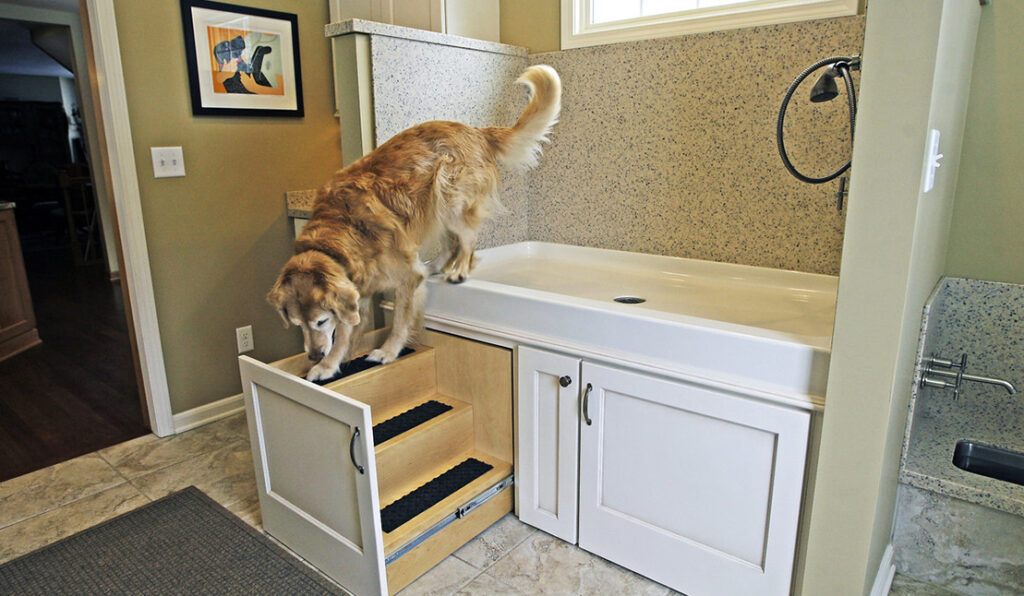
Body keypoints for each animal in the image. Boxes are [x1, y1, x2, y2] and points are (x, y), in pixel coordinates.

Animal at [268, 66, 561, 382]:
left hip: (448, 191)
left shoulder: (404, 278)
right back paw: (435, 266)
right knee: (449, 244)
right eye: (297, 324)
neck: (339, 233)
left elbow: (398, 319)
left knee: (466, 240)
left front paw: (387, 351)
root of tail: (476, 131)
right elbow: (346, 330)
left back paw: (459, 269)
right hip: (433, 203)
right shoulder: (357, 288)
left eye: (321, 321)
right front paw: (329, 365)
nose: (313, 354)